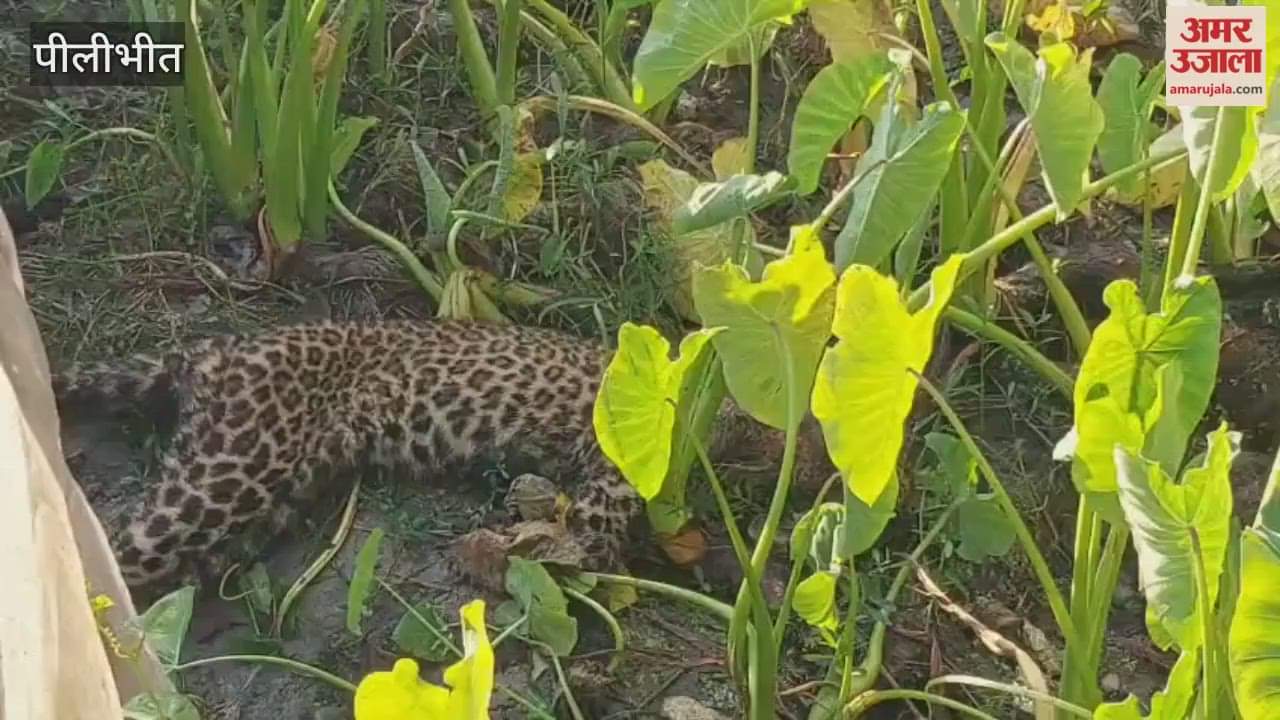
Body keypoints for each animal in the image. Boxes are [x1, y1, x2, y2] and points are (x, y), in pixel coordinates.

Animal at [53, 319, 647, 599]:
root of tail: (220, 348)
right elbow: (606, 518)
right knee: (124, 551)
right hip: (230, 472)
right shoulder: (618, 458)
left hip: (272, 496)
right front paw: (594, 560)